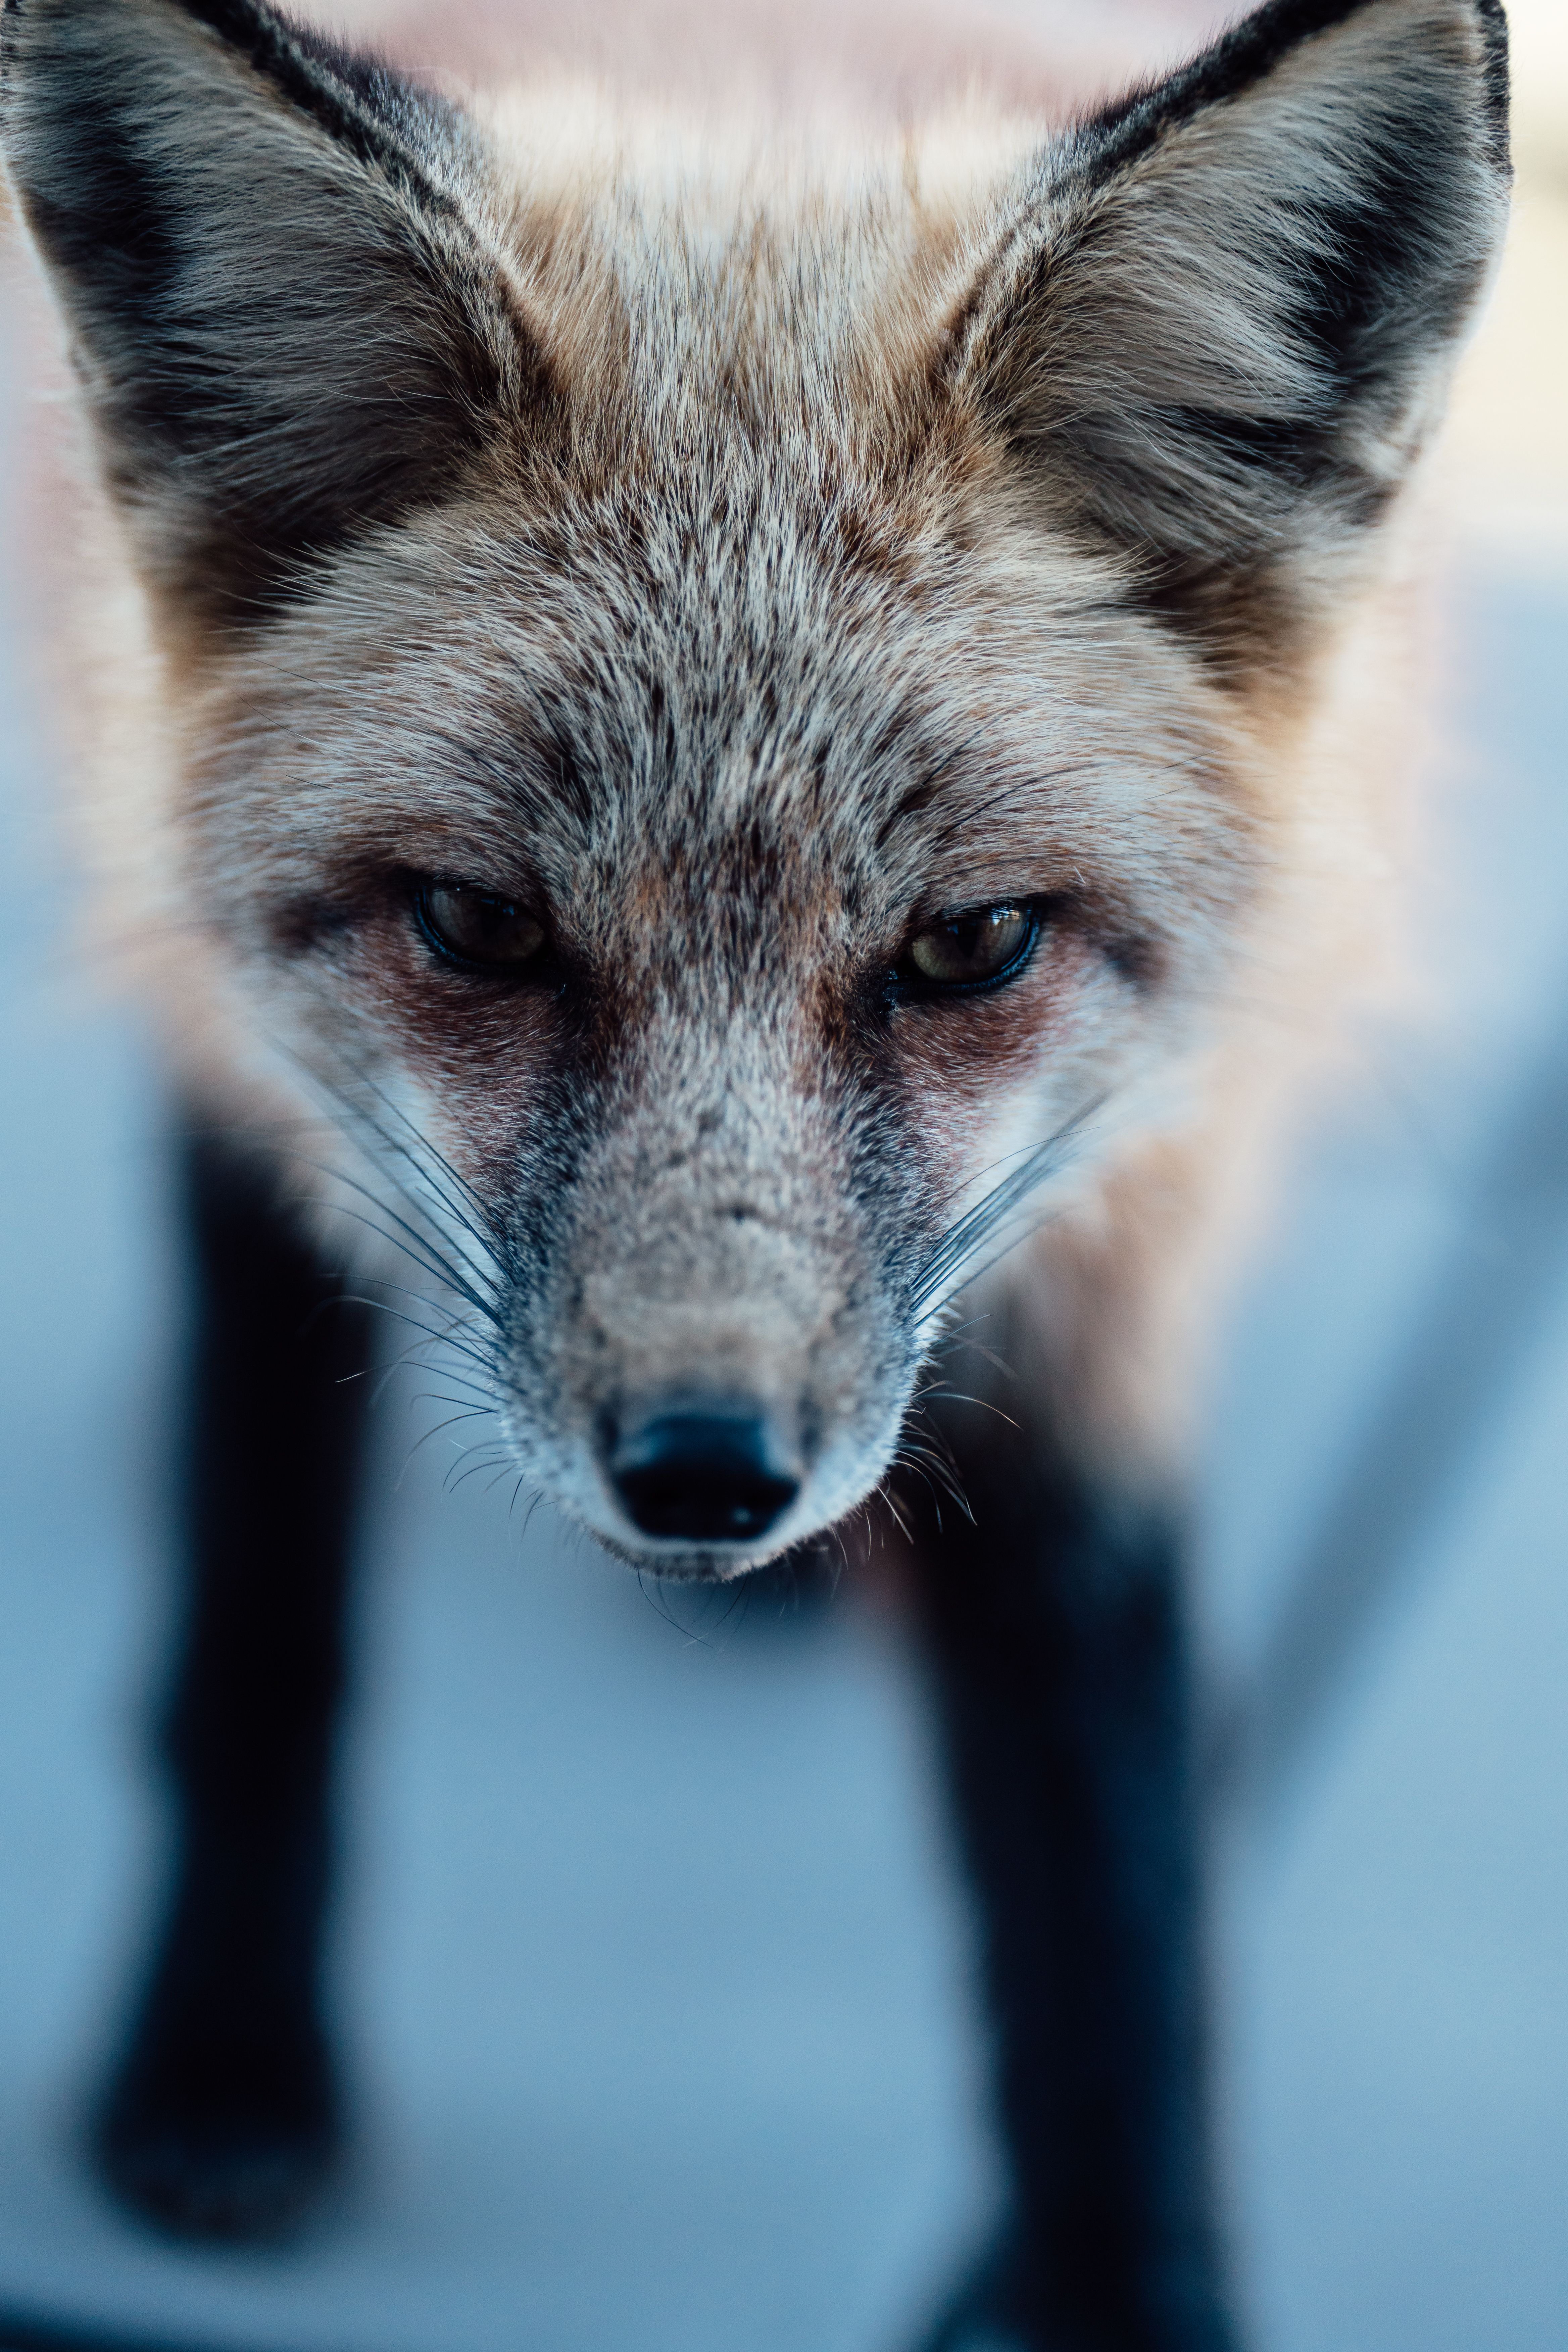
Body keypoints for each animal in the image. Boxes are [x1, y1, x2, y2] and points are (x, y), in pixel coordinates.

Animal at [0, 0, 1510, 2344]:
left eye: (968, 946)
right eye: (477, 924)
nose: (705, 1470)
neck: (759, 74)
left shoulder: (1115, 1240)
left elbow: (1106, 1878)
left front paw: (1123, 2277)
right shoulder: (244, 1064)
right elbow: (261, 1598)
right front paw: (226, 2049)